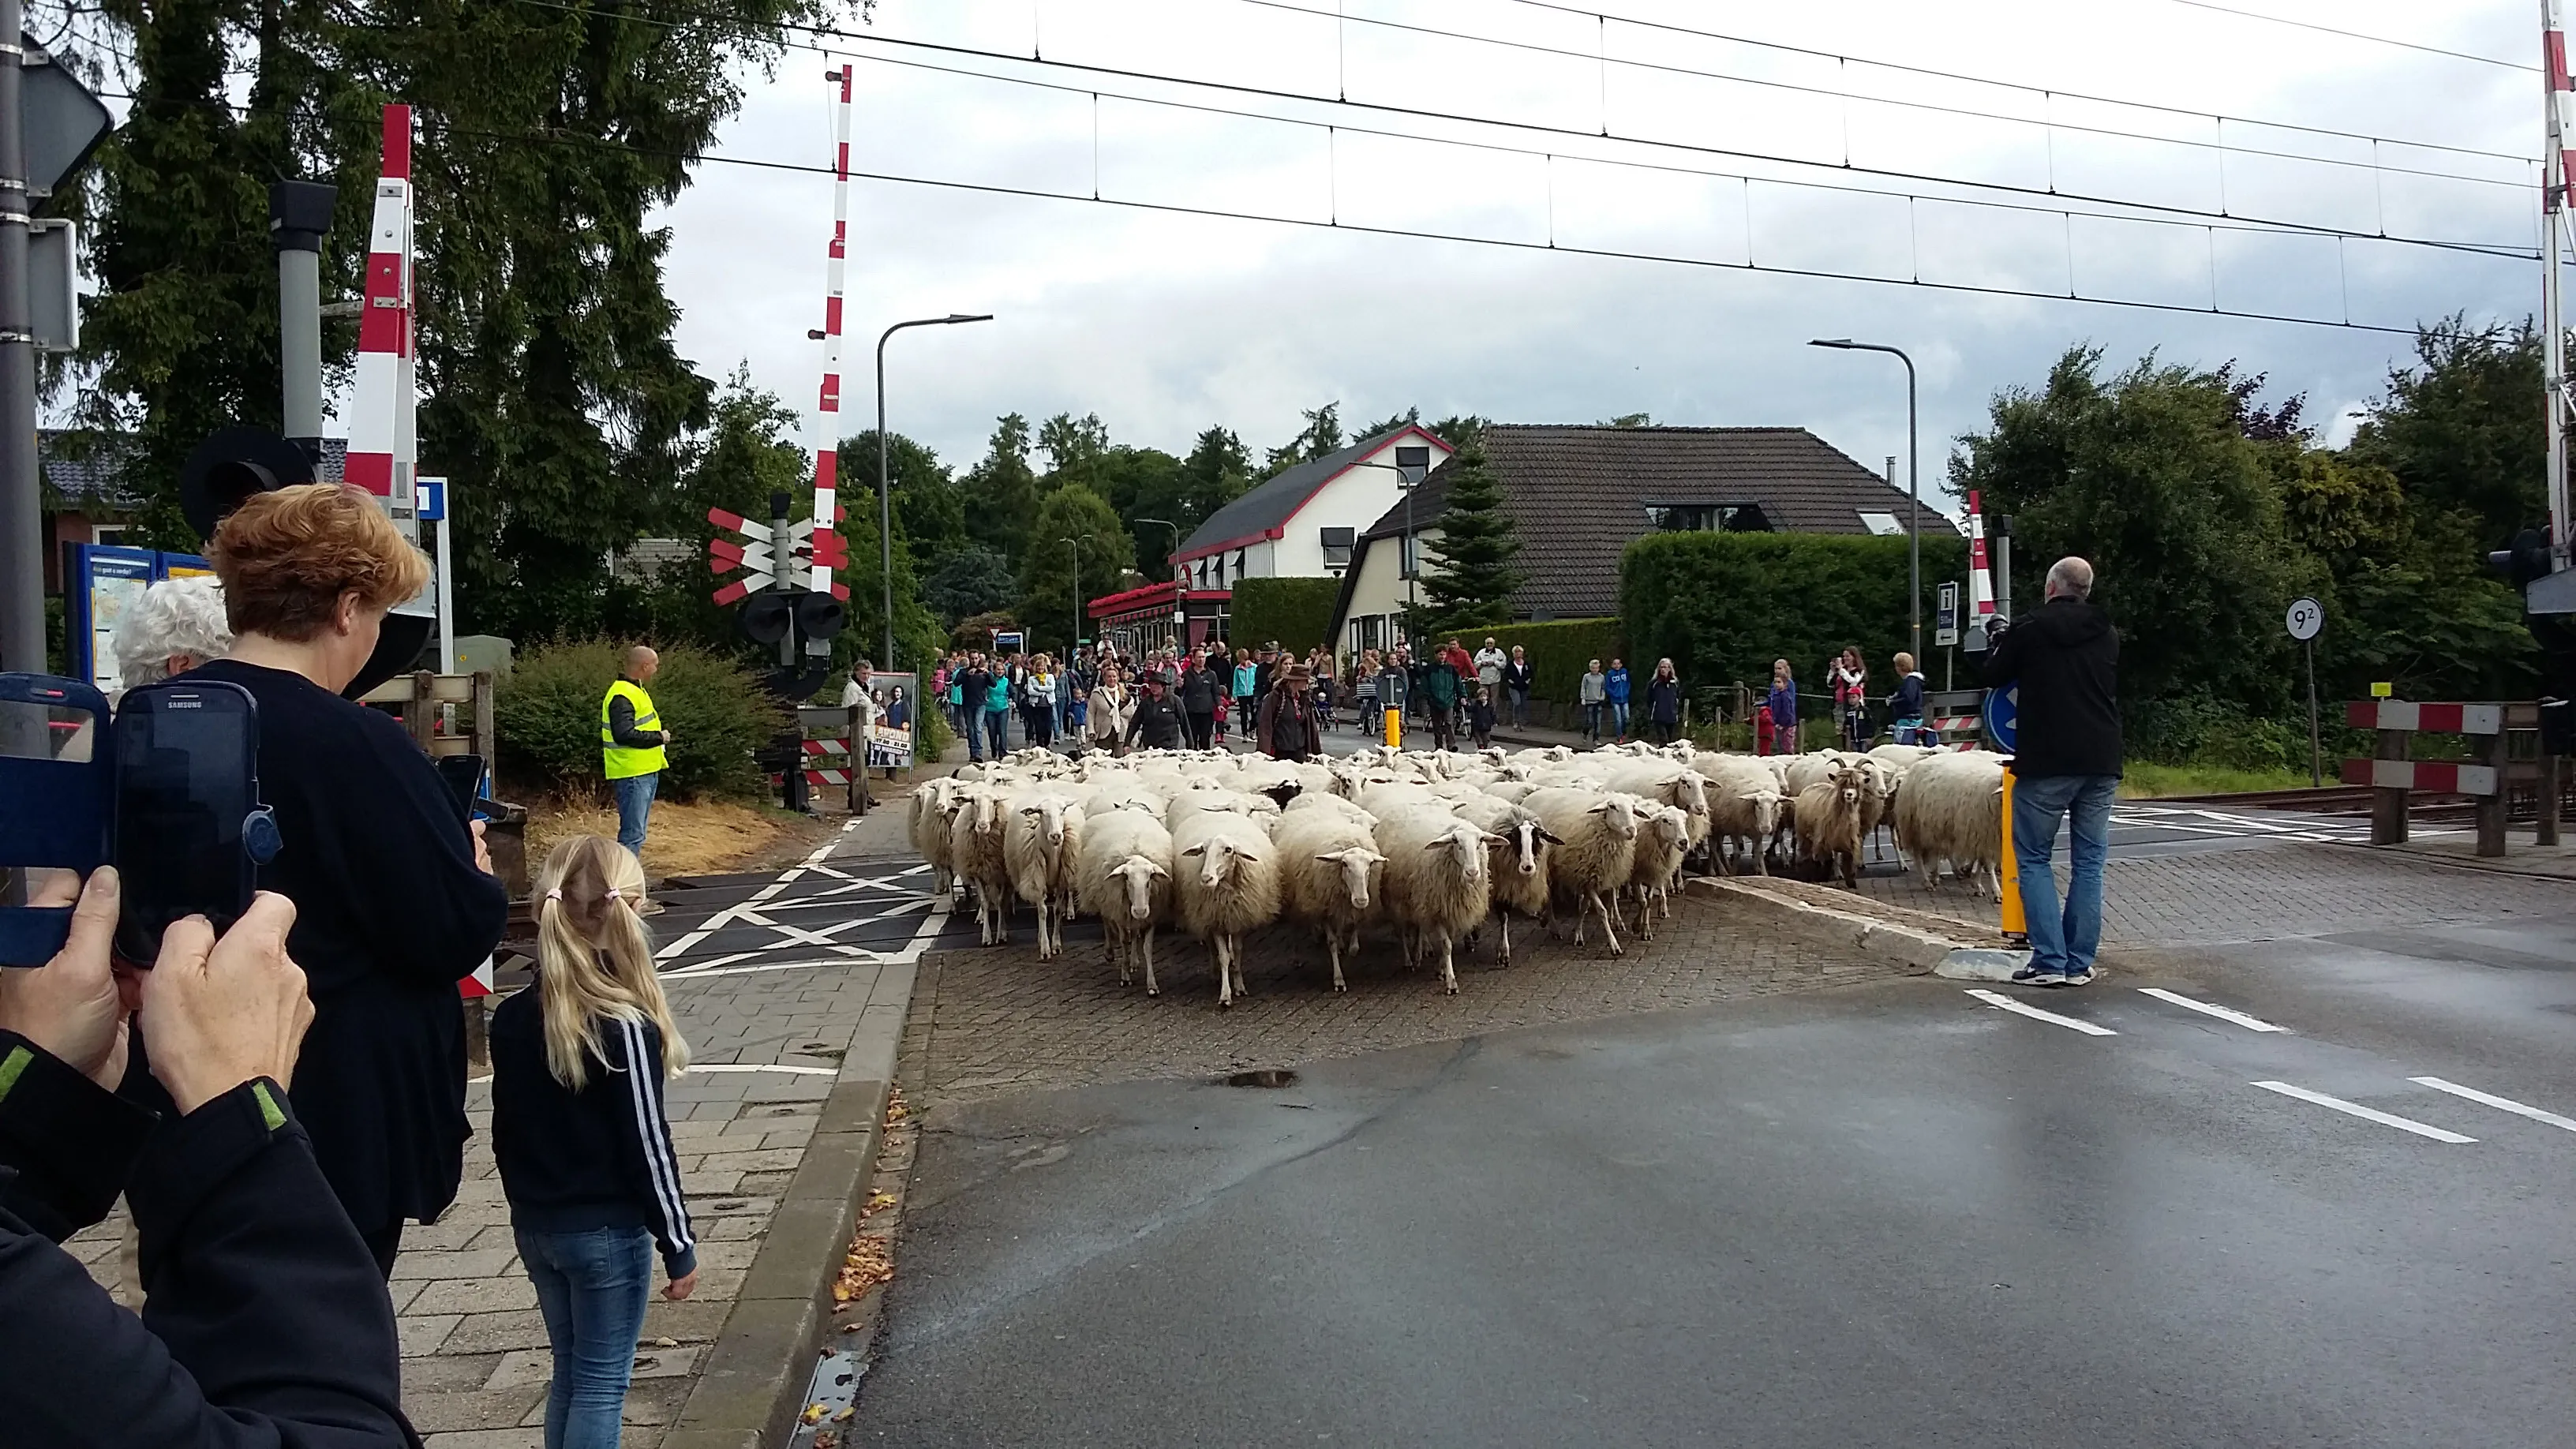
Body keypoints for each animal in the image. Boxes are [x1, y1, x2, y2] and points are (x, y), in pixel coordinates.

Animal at [1071, 799, 1174, 990]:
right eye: (1128, 881)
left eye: (1149, 882)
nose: (1140, 910)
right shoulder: (1119, 911)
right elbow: (1124, 940)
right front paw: (1125, 975)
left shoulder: (1151, 913)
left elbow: (1147, 947)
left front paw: (1151, 984)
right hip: (1104, 896)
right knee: (1106, 921)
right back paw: (1110, 953)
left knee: (1133, 932)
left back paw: (1134, 961)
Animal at [1174, 804, 1282, 1000]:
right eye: (1203, 850)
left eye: (1228, 850)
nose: (1206, 879)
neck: (1226, 893)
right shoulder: (1215, 919)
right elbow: (1223, 956)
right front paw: (1225, 994)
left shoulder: (1238, 917)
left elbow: (1237, 951)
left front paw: (1239, 985)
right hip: (1204, 915)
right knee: (1211, 947)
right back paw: (1214, 973)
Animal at [1272, 804, 1391, 984]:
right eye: (1345, 864)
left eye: (1370, 865)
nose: (1361, 900)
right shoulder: (1323, 906)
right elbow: (1332, 941)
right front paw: (1338, 978)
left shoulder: (1346, 904)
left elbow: (1352, 931)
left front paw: (1351, 948)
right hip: (1294, 895)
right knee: (1295, 923)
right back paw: (1297, 955)